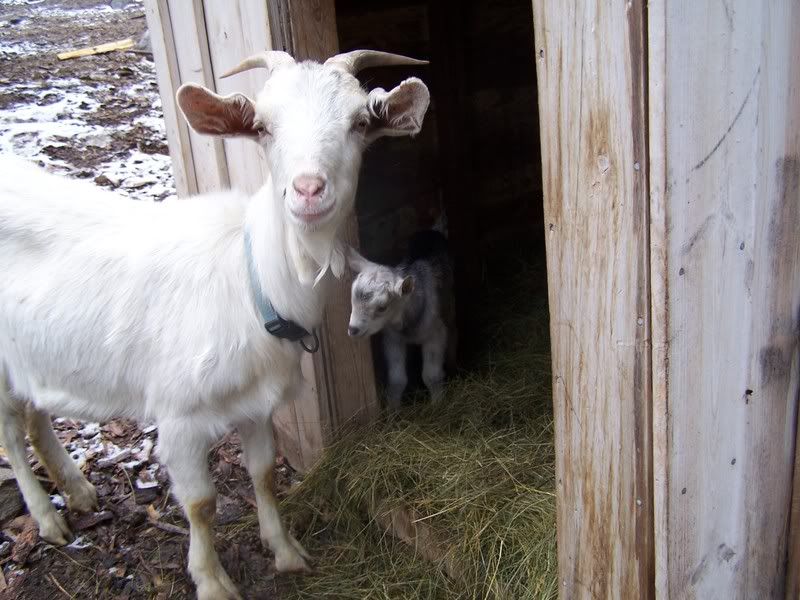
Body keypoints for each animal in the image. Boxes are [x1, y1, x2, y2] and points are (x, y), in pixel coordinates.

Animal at [0, 49, 430, 600]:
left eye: (359, 123)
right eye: (263, 127)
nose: (308, 190)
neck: (251, 283)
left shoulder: (257, 403)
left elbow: (264, 474)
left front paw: (286, 552)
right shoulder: (178, 415)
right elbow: (201, 504)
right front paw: (212, 581)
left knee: (34, 415)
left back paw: (78, 492)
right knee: (12, 436)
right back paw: (49, 520)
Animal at [347, 229, 456, 407]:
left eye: (382, 307)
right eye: (352, 299)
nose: (353, 329)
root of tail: (432, 231)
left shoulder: (436, 334)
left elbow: (431, 376)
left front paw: (438, 404)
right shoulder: (392, 338)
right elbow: (397, 380)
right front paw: (393, 408)